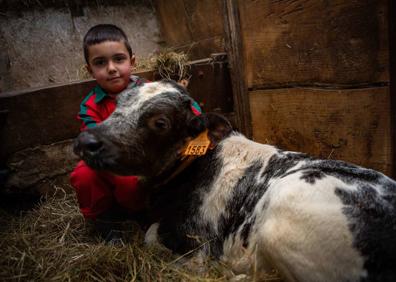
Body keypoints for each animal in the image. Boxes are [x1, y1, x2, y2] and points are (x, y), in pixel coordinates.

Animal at [74, 80, 396, 282]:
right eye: (118, 103)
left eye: (160, 123)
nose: (87, 141)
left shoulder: (197, 242)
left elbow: (152, 236)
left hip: (282, 218)